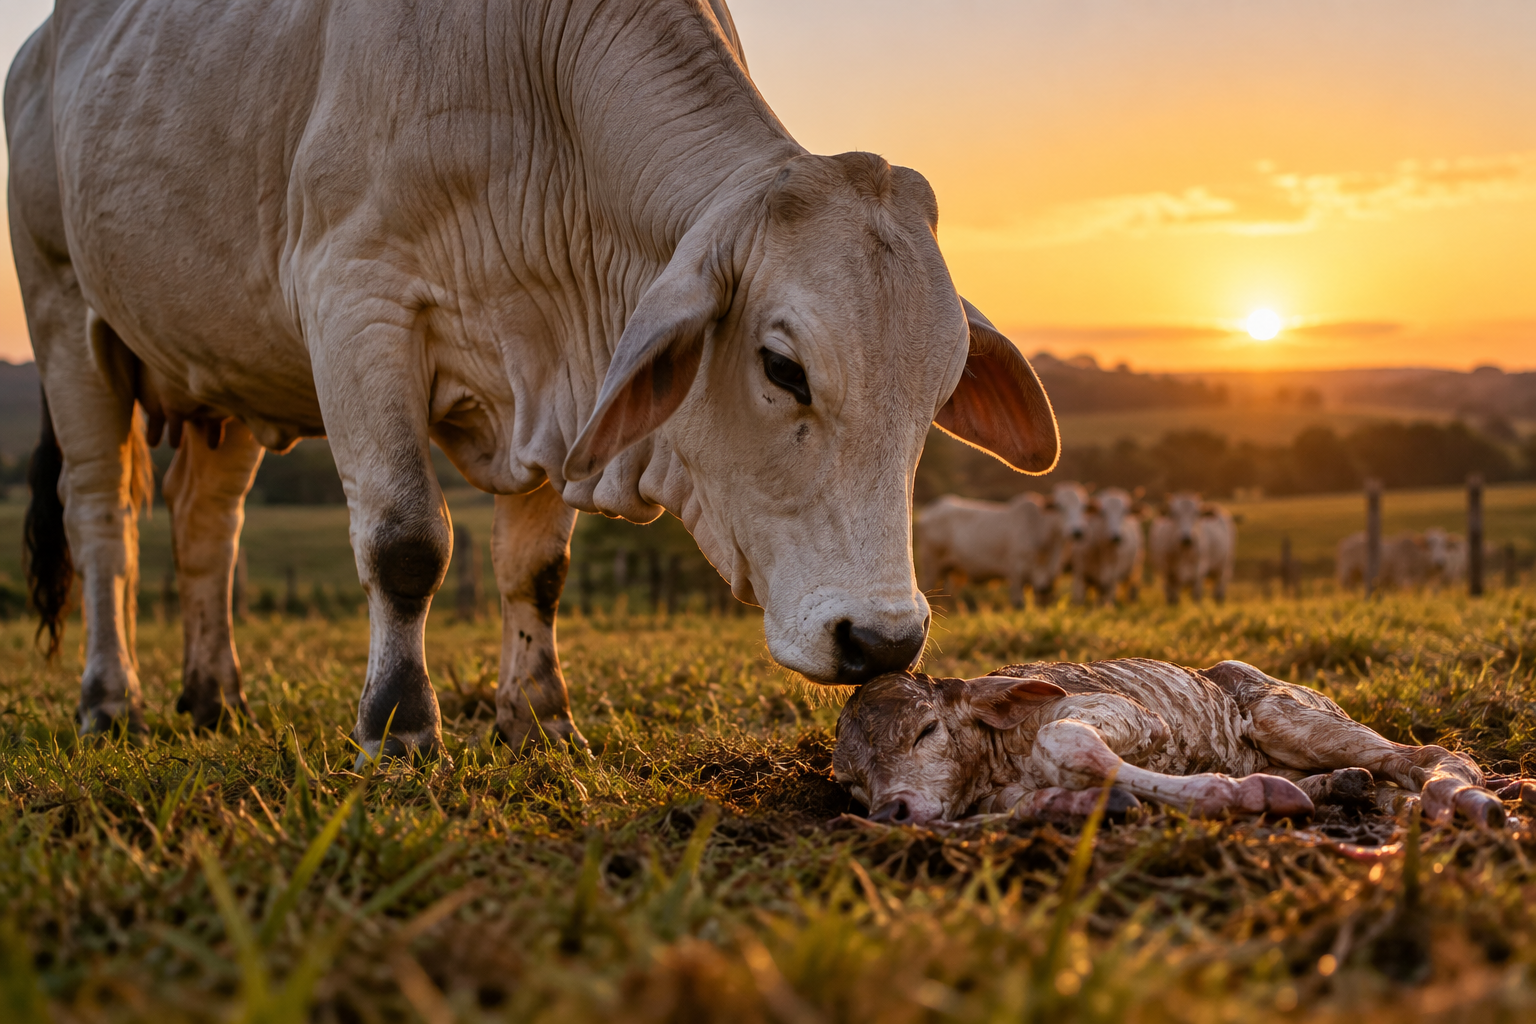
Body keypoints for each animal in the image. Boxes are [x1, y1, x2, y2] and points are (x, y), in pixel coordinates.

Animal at [915, 494, 1062, 610]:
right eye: (1061, 508)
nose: (1070, 532)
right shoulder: (1015, 571)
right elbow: (1018, 603)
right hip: (931, 564)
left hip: (952, 571)